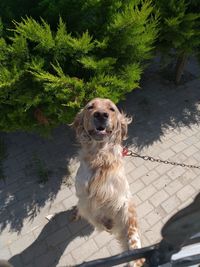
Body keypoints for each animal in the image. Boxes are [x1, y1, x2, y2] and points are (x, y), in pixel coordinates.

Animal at [72, 98, 143, 267]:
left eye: (111, 109)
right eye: (90, 107)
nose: (101, 114)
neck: (100, 157)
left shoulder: (124, 198)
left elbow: (131, 229)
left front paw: (136, 254)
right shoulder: (85, 198)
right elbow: (93, 215)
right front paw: (105, 223)